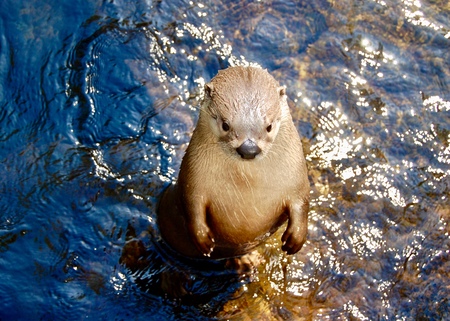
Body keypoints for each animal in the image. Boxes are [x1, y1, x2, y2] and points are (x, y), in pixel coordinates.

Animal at [156, 66, 308, 262]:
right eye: (225, 125)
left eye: (269, 126)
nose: (249, 148)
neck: (249, 187)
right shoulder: (192, 175)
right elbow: (191, 203)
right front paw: (202, 238)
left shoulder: (296, 178)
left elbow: (302, 203)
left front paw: (296, 237)